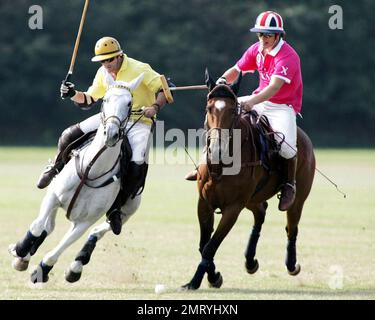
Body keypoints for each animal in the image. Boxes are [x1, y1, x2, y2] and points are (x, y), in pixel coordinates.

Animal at [184, 72, 316, 290]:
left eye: (233, 110)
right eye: (208, 108)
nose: (216, 150)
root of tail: (305, 137)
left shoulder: (233, 207)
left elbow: (210, 246)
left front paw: (195, 281)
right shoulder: (204, 203)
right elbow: (203, 245)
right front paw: (213, 277)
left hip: (298, 198)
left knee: (291, 227)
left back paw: (291, 264)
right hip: (253, 198)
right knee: (261, 212)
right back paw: (250, 261)